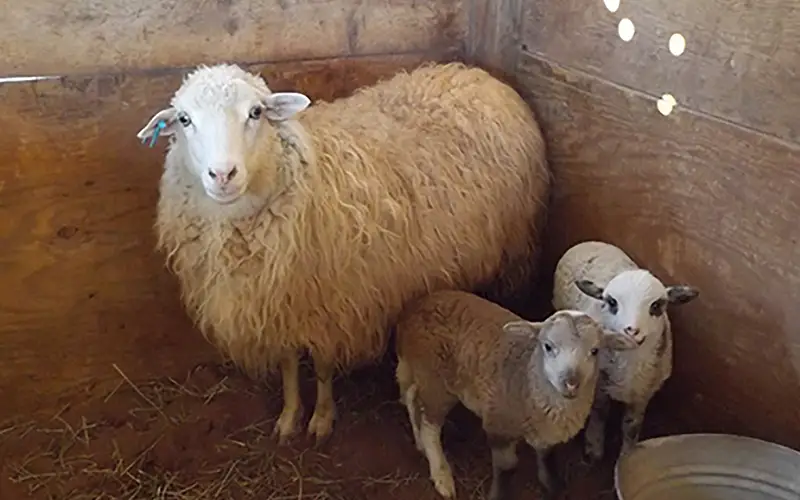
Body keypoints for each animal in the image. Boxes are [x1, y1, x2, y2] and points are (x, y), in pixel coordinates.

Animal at [135, 62, 550, 445]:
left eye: (255, 112)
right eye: (184, 120)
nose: (223, 175)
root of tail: (477, 74)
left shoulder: (332, 302)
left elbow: (321, 366)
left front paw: (321, 419)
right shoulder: (280, 303)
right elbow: (288, 364)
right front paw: (289, 416)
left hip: (513, 247)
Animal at [395, 290, 639, 500]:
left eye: (595, 351)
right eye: (547, 346)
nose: (571, 383)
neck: (528, 381)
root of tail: (409, 312)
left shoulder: (545, 434)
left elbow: (547, 457)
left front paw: (552, 485)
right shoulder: (498, 423)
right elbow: (507, 466)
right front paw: (499, 495)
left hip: (424, 373)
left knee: (412, 397)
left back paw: (419, 444)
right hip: (436, 379)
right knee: (430, 426)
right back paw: (441, 475)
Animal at [552, 240, 699, 463]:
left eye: (657, 305)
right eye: (612, 302)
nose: (632, 330)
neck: (631, 364)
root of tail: (590, 242)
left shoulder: (643, 394)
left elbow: (632, 427)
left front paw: (628, 455)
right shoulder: (599, 387)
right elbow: (599, 414)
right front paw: (594, 449)